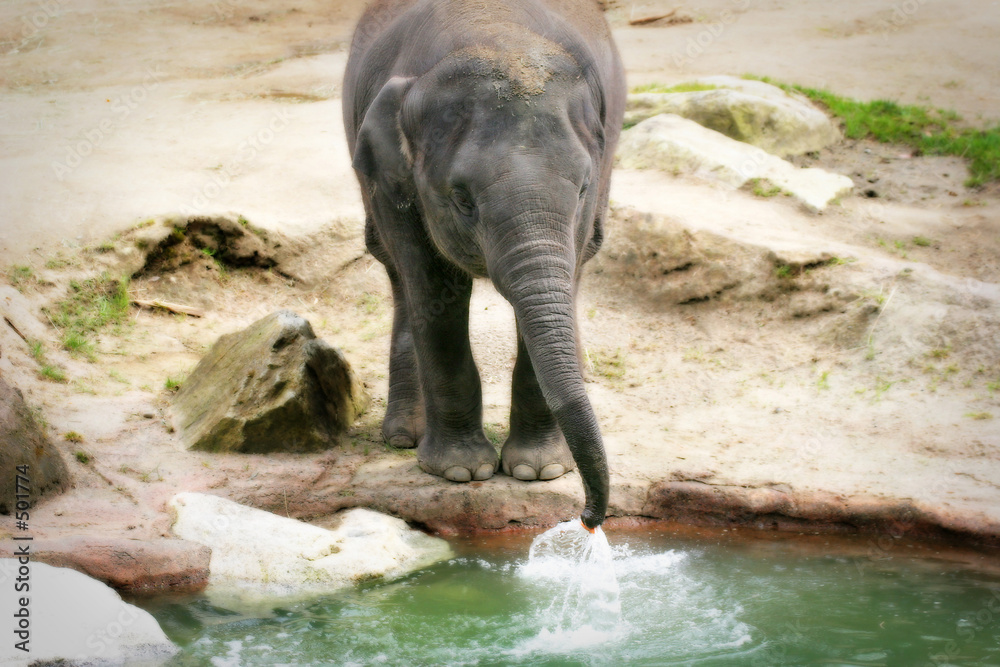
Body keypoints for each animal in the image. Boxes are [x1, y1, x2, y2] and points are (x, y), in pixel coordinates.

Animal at [343, 0, 626, 529]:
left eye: (582, 189)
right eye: (461, 198)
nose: (587, 517)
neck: (496, 34)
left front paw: (539, 471)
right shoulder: (397, 180)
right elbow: (433, 288)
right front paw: (460, 472)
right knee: (397, 274)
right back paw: (403, 439)